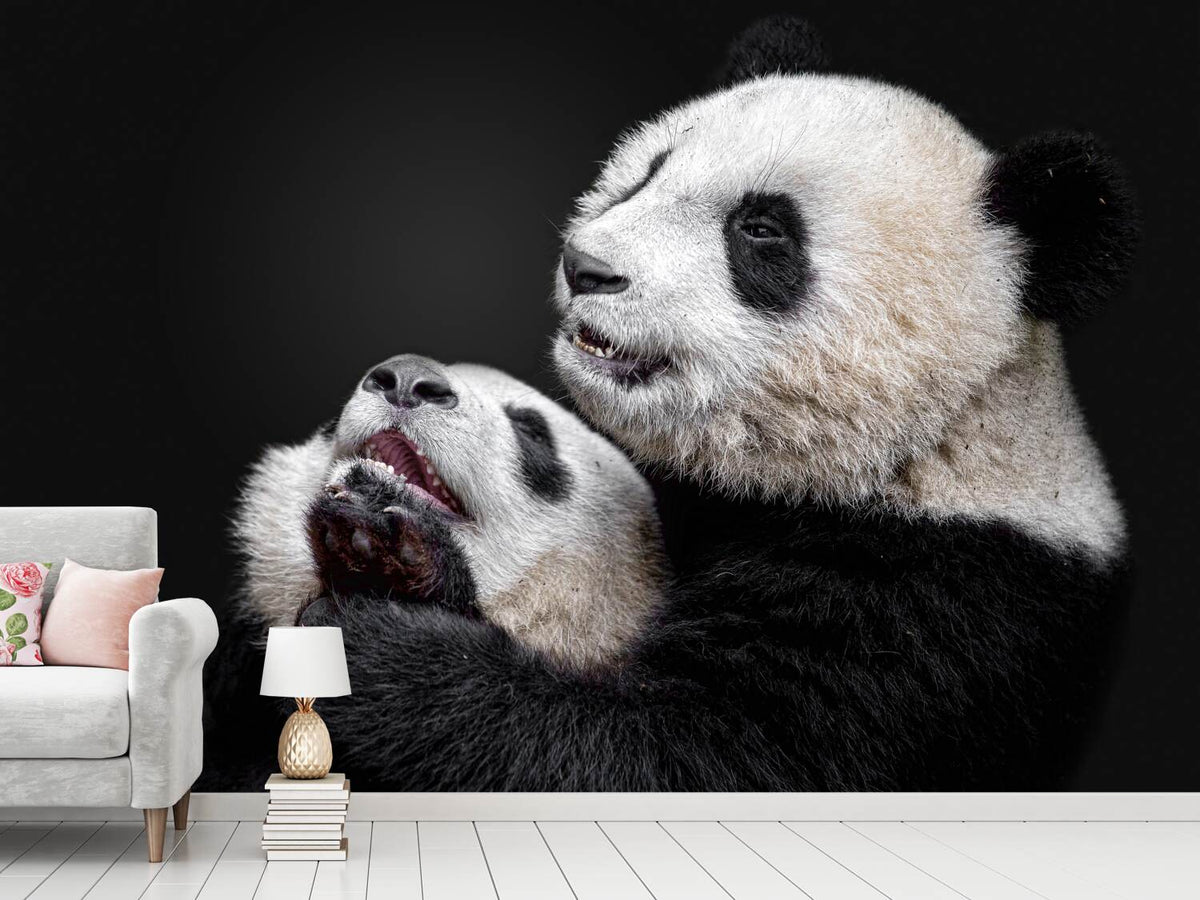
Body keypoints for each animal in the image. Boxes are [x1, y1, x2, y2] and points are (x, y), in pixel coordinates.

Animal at [301, 17, 1138, 791]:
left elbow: (686, 757)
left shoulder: (934, 606)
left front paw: (375, 639)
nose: (586, 267)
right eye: (646, 174)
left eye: (761, 230)